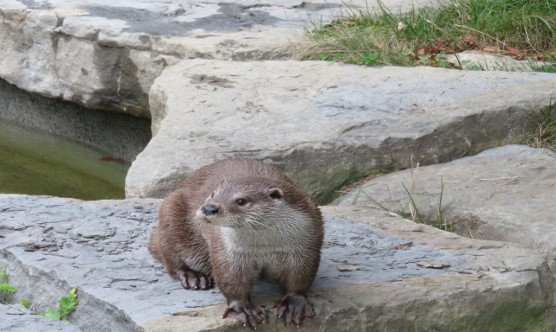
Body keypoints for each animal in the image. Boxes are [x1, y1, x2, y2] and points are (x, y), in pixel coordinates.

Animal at [150, 159, 324, 330]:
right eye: (212, 194)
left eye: (241, 201)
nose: (209, 207)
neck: (264, 246)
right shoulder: (227, 251)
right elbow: (231, 280)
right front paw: (242, 309)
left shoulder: (306, 246)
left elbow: (300, 278)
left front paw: (294, 304)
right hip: (170, 215)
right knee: (171, 258)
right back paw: (194, 276)